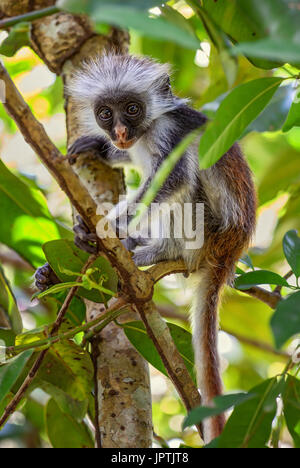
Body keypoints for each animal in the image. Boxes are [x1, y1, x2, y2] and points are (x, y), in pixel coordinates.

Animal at [35, 54, 255, 442]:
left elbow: (172, 180)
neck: (149, 127)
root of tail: (230, 252)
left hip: (208, 232)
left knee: (189, 184)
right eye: (105, 114)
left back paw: (154, 254)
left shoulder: (171, 133)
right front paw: (102, 150)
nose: (121, 133)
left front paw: (104, 229)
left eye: (133, 109)